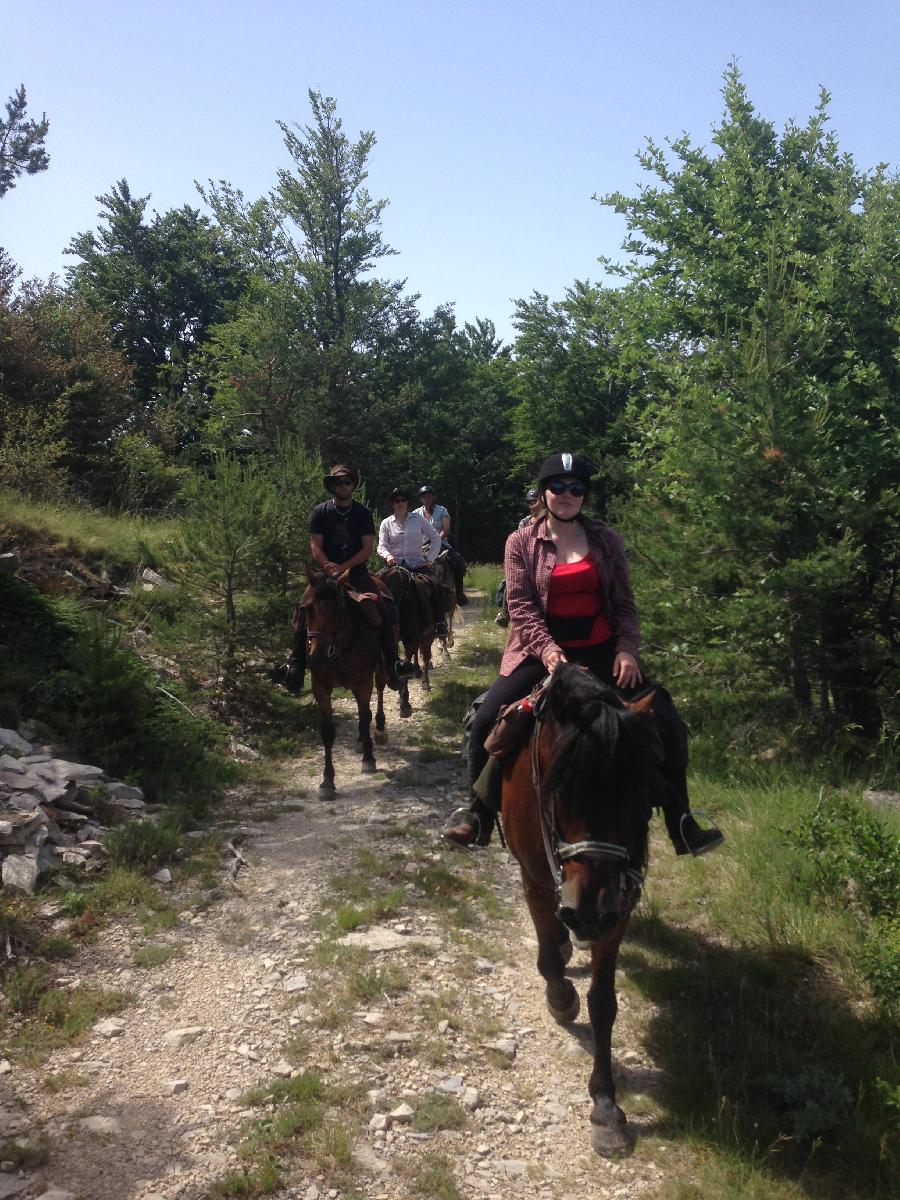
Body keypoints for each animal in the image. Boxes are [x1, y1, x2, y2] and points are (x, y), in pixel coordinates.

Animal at [300, 571, 388, 796]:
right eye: (307, 609)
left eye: (335, 610)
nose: (315, 658)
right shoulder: (320, 687)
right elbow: (327, 731)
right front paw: (327, 781)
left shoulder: (364, 682)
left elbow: (365, 718)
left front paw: (368, 758)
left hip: (379, 671)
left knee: (380, 691)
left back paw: (379, 731)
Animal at [504, 662, 667, 1156]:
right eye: (559, 789)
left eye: (640, 791)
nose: (588, 912)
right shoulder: (536, 879)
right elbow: (549, 958)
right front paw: (560, 999)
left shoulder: (621, 901)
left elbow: (603, 1002)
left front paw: (606, 1106)